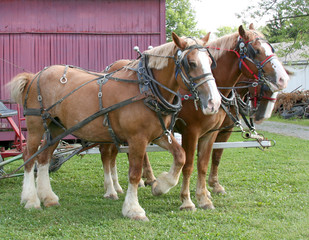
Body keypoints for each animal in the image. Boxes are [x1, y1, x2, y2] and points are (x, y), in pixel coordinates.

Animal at [9, 32, 221, 221]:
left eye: (211, 63)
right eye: (191, 63)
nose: (214, 102)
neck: (145, 88)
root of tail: (34, 76)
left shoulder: (159, 135)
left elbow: (181, 156)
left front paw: (160, 186)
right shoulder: (137, 139)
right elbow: (134, 173)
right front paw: (133, 209)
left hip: (56, 129)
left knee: (44, 158)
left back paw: (48, 197)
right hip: (37, 126)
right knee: (29, 157)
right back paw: (31, 199)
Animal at [99, 23, 288, 209]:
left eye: (271, 47)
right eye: (255, 51)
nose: (283, 79)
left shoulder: (214, 132)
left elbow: (207, 162)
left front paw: (205, 195)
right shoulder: (191, 131)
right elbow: (188, 165)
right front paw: (187, 199)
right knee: (113, 153)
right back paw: (121, 186)